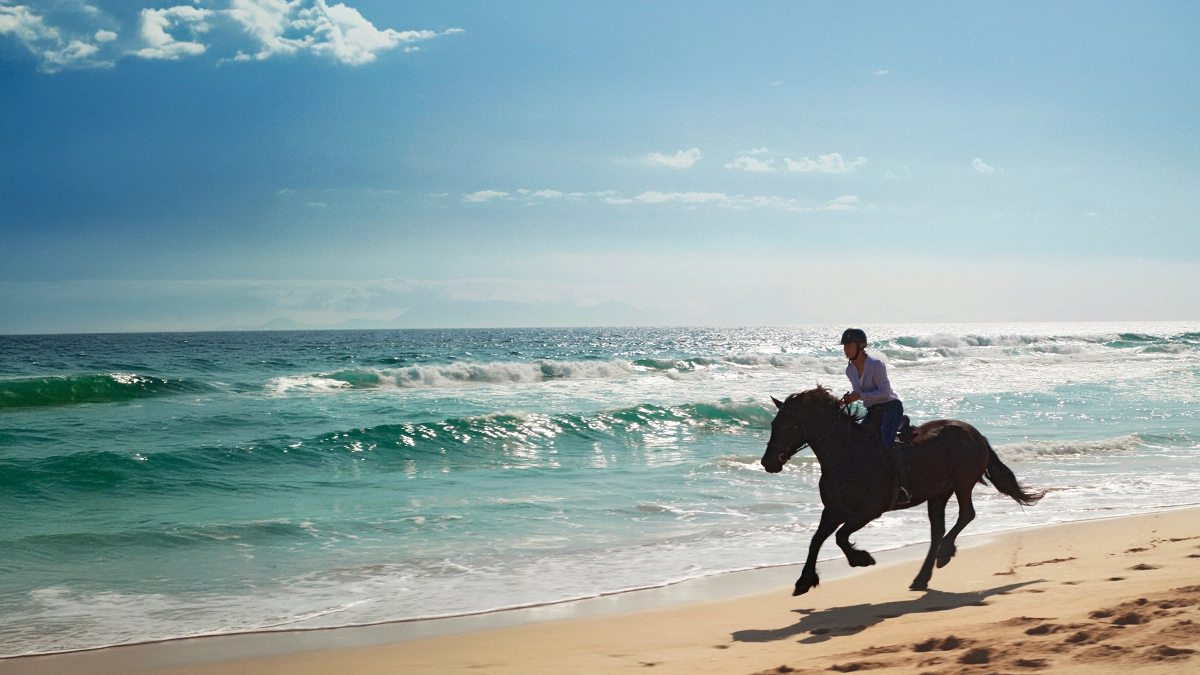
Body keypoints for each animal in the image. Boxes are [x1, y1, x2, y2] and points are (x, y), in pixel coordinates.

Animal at [760, 386, 1043, 595]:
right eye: (773, 424)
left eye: (788, 426)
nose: (767, 462)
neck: (846, 455)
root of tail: (975, 434)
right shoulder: (833, 510)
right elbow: (816, 540)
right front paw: (804, 581)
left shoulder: (868, 511)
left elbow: (840, 537)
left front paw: (861, 559)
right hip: (939, 493)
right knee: (938, 530)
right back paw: (922, 576)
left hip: (963, 482)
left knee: (966, 515)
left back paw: (944, 553)